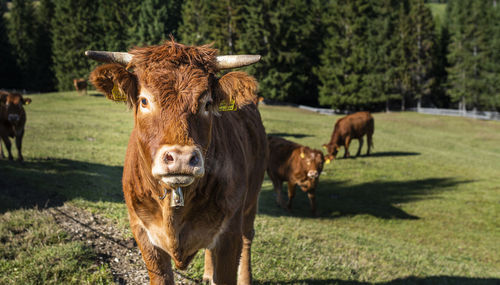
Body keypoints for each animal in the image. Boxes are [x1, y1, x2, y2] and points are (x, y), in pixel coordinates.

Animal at [87, 40, 266, 284]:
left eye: (207, 103)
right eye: (144, 100)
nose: (181, 158)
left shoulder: (230, 233)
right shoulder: (143, 232)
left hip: (251, 203)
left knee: (248, 239)